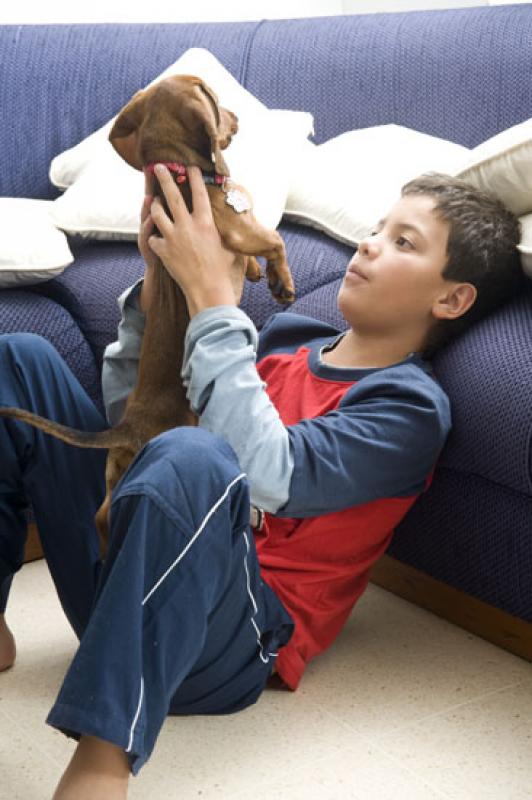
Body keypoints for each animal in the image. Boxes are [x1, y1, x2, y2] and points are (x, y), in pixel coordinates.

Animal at [0, 75, 296, 552]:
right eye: (217, 100)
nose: (238, 118)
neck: (180, 172)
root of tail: (129, 426)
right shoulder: (237, 228)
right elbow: (274, 239)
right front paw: (280, 282)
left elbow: (258, 250)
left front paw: (255, 273)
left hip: (119, 468)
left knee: (102, 512)